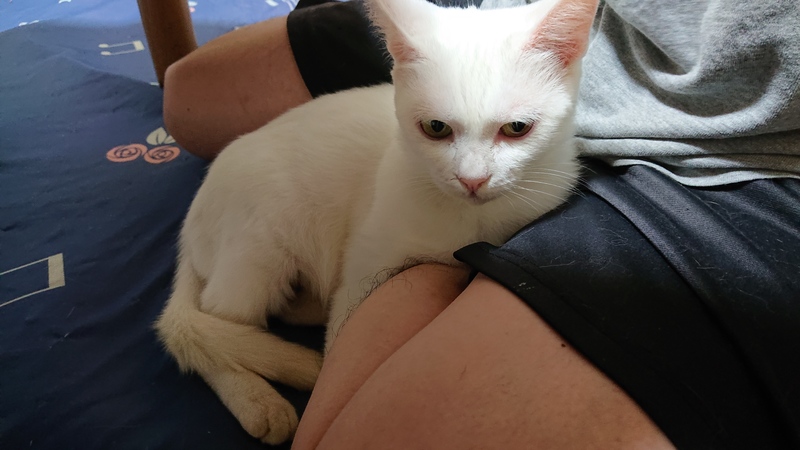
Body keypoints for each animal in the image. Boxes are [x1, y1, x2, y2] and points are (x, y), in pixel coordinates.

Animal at [155, 0, 598, 444]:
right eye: (435, 128)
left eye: (517, 128)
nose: (472, 179)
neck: (474, 219)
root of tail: (190, 227)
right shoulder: (367, 261)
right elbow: (341, 331)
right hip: (261, 243)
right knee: (211, 323)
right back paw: (259, 400)